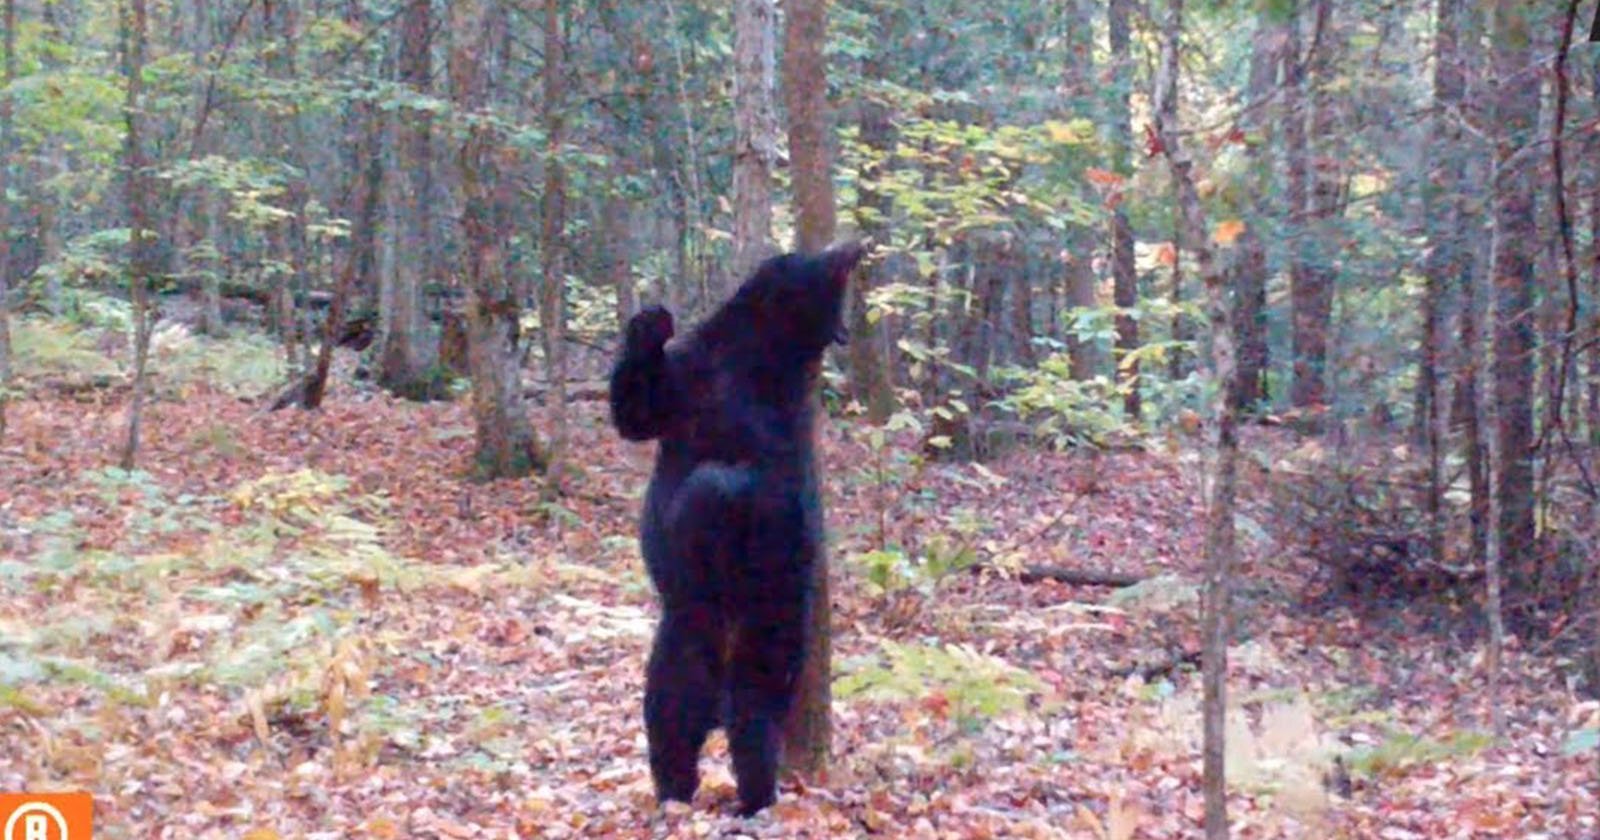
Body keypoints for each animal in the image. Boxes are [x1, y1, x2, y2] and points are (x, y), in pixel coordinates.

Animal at [608, 240, 864, 812]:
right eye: (838, 298)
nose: (844, 333)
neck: (753, 351)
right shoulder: (689, 377)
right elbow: (636, 413)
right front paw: (650, 322)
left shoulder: (775, 427)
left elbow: (747, 480)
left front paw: (714, 496)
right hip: (682, 638)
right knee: (670, 713)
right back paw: (675, 791)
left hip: (771, 626)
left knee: (753, 715)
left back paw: (753, 798)